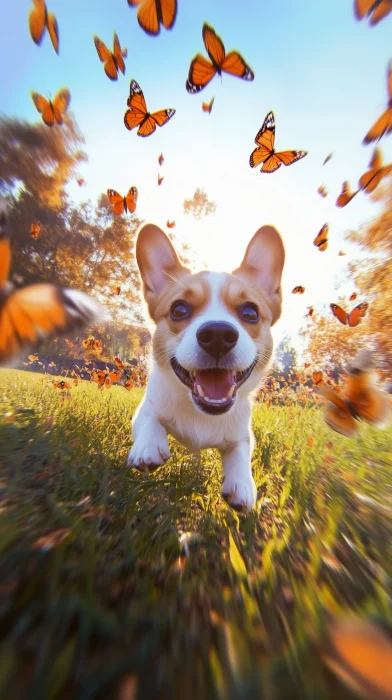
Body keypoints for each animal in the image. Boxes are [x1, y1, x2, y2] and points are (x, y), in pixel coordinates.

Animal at [129, 226, 284, 516]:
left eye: (250, 312)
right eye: (179, 309)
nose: (218, 335)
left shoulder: (242, 435)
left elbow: (241, 451)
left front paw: (242, 484)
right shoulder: (147, 406)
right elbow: (149, 418)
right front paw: (148, 445)